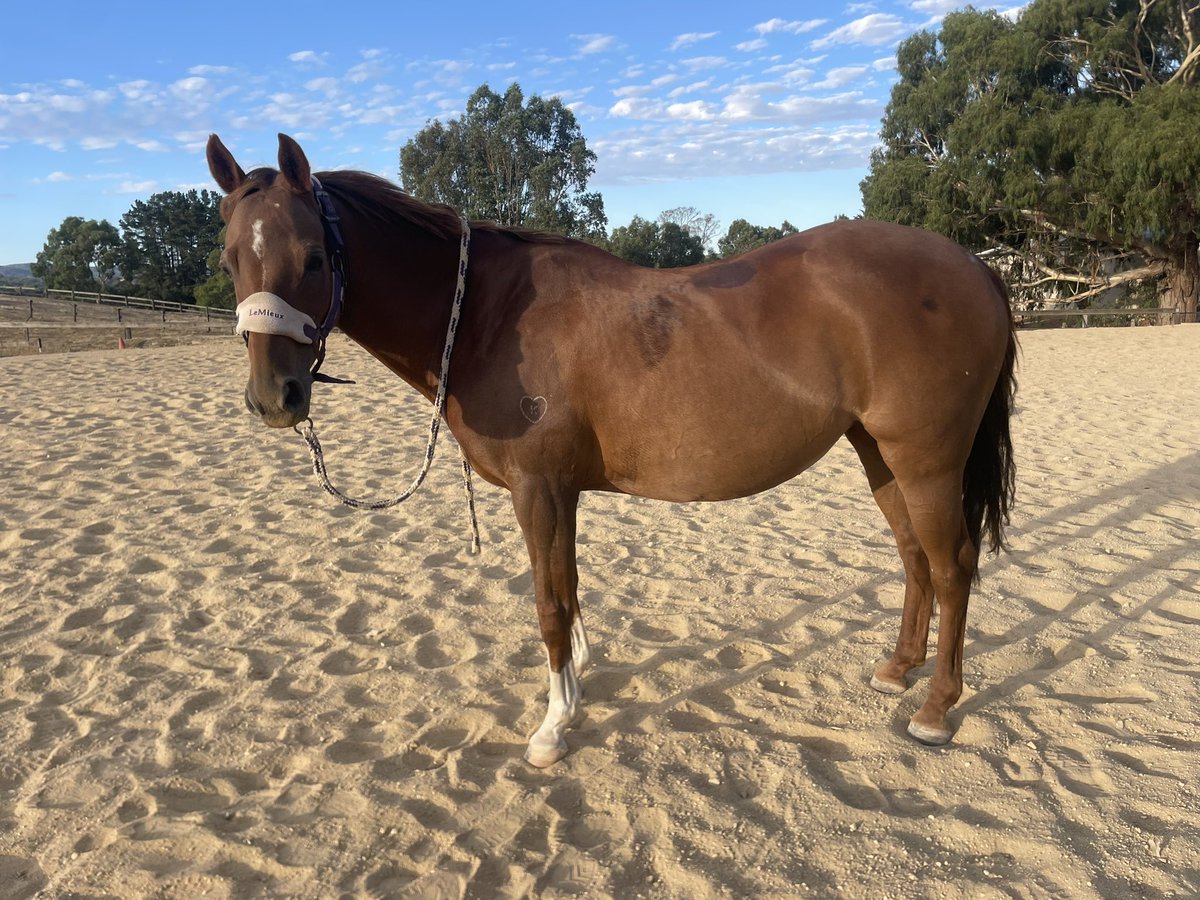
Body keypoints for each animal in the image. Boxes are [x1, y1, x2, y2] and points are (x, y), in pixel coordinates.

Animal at [206, 133, 1016, 768]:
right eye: (230, 257)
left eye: (314, 257)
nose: (274, 398)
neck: (488, 314)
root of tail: (977, 266)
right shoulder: (557, 492)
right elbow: (568, 587)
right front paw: (577, 688)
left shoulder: (539, 488)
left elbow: (549, 601)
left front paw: (552, 728)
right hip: (878, 453)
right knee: (914, 558)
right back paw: (897, 669)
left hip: (927, 461)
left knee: (952, 566)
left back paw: (936, 709)